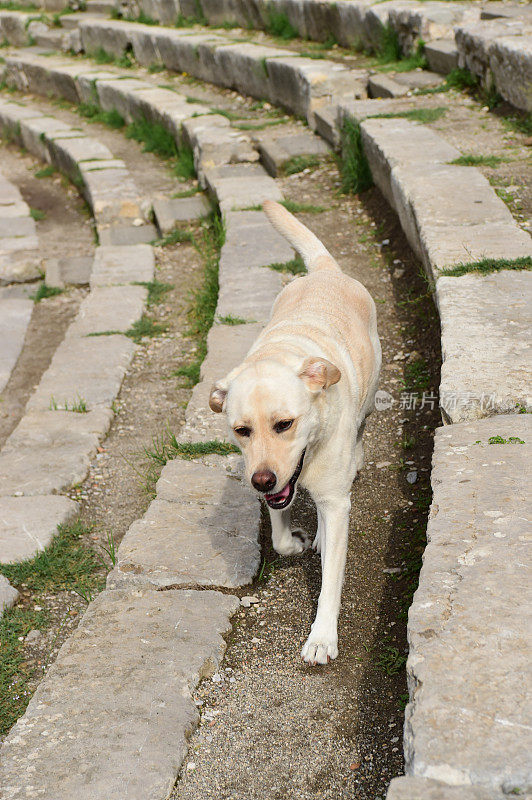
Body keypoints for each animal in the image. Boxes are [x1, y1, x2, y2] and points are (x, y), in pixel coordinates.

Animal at [210, 200, 380, 664]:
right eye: (242, 430)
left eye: (284, 424)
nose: (261, 480)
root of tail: (325, 269)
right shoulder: (275, 485)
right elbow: (281, 532)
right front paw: (295, 539)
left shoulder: (336, 501)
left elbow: (330, 582)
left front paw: (321, 638)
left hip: (370, 394)